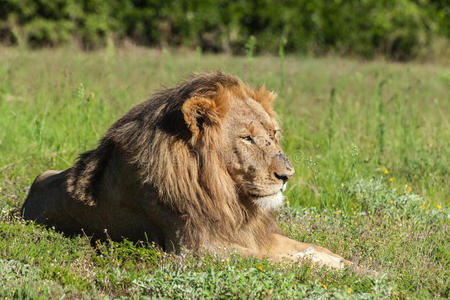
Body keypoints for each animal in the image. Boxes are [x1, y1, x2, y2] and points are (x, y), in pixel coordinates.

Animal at [21, 72, 350, 270]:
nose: (287, 176)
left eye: (274, 133)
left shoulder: (250, 233)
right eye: (247, 138)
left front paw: (347, 263)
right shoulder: (199, 250)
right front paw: (331, 267)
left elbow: (310, 247)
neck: (227, 196)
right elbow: (282, 261)